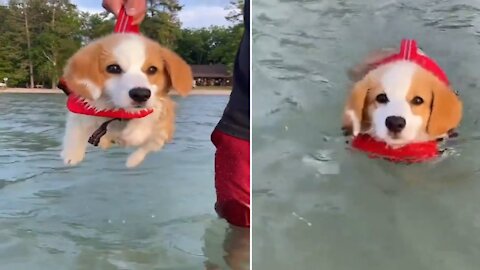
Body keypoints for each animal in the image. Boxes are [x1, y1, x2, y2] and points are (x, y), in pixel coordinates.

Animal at [61, 32, 192, 168]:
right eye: (113, 68)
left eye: (152, 69)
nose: (141, 94)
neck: (117, 111)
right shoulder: (82, 107)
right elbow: (74, 129)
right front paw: (72, 154)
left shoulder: (158, 107)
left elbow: (149, 115)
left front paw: (131, 135)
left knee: (149, 146)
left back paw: (132, 161)